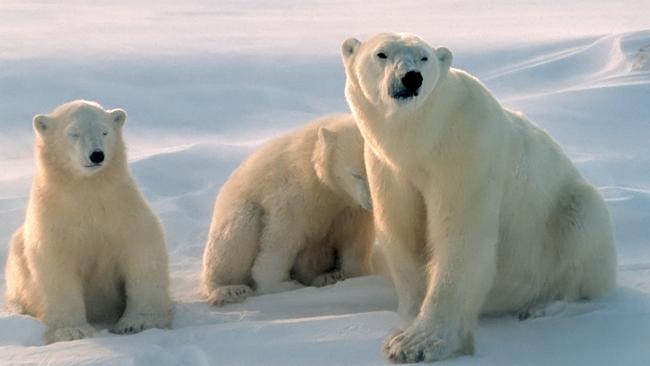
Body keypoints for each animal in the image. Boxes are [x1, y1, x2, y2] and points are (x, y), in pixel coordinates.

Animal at [4, 100, 172, 344]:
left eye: (105, 131)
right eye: (73, 133)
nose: (97, 155)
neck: (88, 190)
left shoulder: (123, 210)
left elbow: (142, 252)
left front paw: (137, 323)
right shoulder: (56, 219)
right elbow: (57, 267)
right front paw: (72, 331)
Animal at [200, 114, 372, 306]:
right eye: (356, 174)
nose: (371, 201)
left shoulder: (351, 210)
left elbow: (354, 241)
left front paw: (348, 274)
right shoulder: (296, 192)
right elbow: (282, 237)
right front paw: (282, 286)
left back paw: (326, 276)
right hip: (235, 211)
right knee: (237, 233)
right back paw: (229, 289)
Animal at [342, 32, 616, 364]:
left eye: (424, 57)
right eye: (381, 54)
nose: (411, 78)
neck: (424, 138)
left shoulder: (465, 151)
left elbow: (461, 238)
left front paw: (416, 342)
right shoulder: (387, 167)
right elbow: (400, 232)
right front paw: (408, 317)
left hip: (569, 214)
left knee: (583, 229)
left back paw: (545, 306)